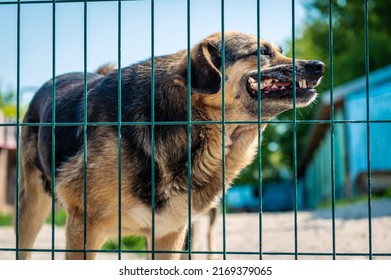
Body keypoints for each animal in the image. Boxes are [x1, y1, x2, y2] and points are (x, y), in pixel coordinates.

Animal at [16, 31, 324, 260]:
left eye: (279, 50)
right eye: (261, 52)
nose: (319, 66)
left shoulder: (168, 234)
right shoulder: (84, 227)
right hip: (31, 209)